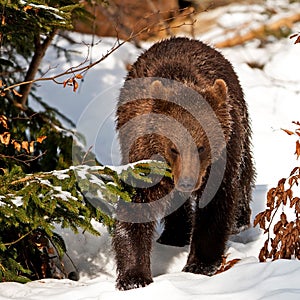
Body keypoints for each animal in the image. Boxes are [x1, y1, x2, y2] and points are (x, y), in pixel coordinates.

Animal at [113, 37, 254, 290]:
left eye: (202, 146)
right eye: (173, 147)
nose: (188, 181)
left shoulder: (222, 159)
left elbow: (216, 205)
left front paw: (200, 264)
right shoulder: (143, 153)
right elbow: (136, 205)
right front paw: (134, 277)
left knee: (245, 170)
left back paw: (240, 219)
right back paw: (174, 234)